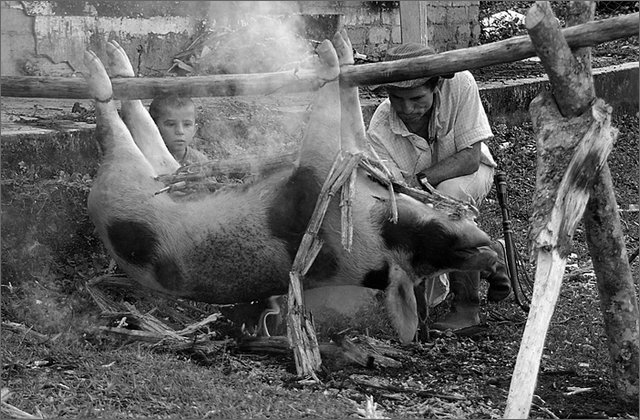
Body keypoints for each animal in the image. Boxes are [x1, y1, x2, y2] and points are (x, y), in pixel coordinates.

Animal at [85, 33, 498, 344]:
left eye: (434, 246)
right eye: (438, 234)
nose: (489, 251)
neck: (372, 228)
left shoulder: (318, 175)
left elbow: (329, 122)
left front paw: (329, 53)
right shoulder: (345, 165)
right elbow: (353, 127)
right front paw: (340, 48)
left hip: (125, 183)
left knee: (113, 128)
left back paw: (96, 65)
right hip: (165, 174)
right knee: (144, 129)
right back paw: (112, 59)